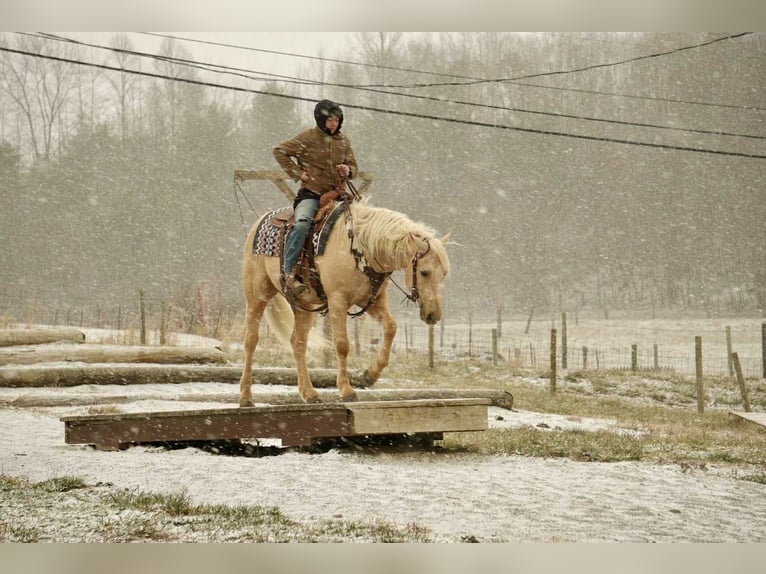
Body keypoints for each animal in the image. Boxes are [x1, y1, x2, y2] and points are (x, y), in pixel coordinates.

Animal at [238, 199, 451, 405]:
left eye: (444, 274)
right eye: (424, 272)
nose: (433, 315)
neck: (361, 249)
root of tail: (260, 221)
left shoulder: (373, 300)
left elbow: (391, 327)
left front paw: (371, 374)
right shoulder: (337, 301)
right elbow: (342, 344)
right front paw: (347, 390)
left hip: (303, 305)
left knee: (298, 342)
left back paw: (309, 394)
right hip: (257, 295)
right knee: (251, 339)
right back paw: (246, 396)